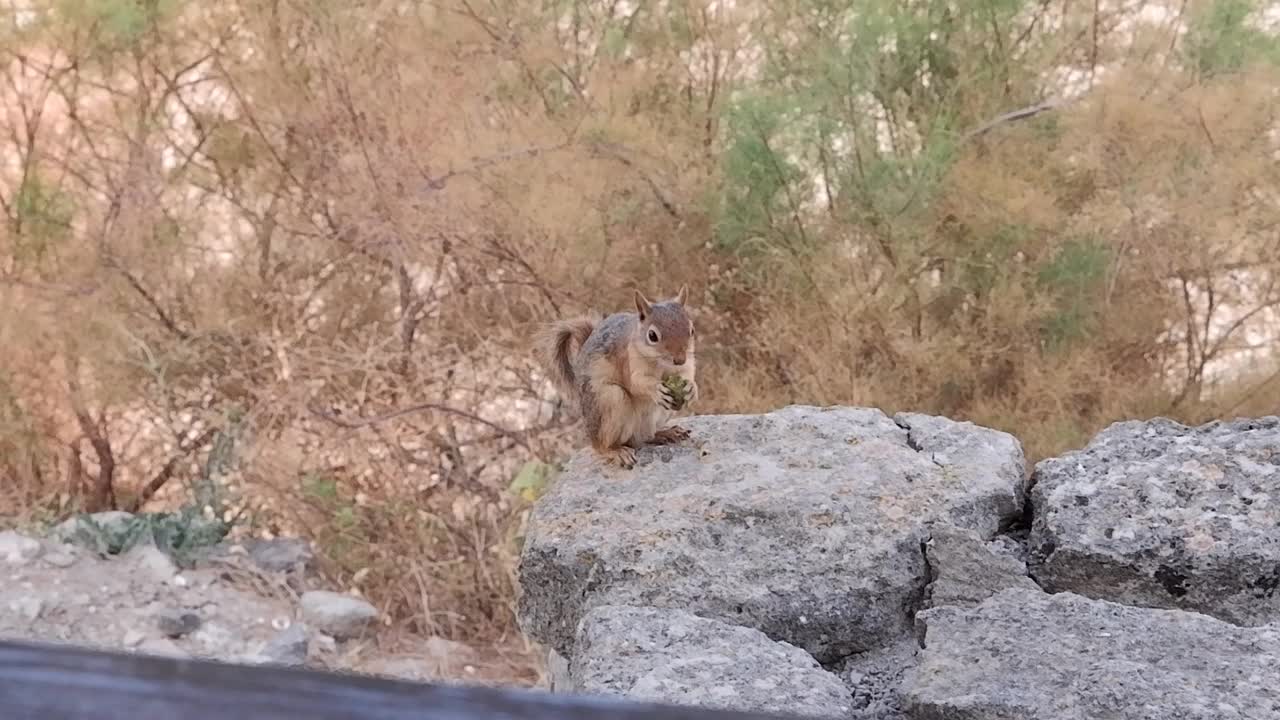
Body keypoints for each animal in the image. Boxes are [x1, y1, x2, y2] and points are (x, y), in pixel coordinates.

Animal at [537, 285, 701, 471]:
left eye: (691, 330)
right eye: (652, 335)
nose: (679, 359)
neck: (661, 364)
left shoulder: (686, 363)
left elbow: (688, 373)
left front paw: (691, 388)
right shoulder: (628, 361)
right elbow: (636, 383)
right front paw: (656, 389)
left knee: (643, 438)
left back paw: (665, 433)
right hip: (611, 399)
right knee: (602, 445)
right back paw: (615, 452)